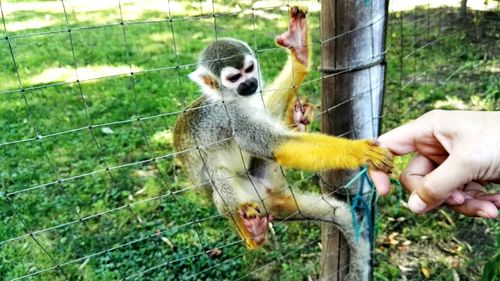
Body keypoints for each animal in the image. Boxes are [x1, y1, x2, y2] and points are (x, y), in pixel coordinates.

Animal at [174, 5, 392, 278]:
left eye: (249, 69)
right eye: (234, 78)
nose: (250, 83)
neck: (232, 98)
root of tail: (269, 202)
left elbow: (272, 113)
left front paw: (299, 53)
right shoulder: (231, 116)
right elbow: (273, 144)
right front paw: (360, 151)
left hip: (272, 181)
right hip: (249, 196)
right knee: (219, 177)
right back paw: (252, 233)